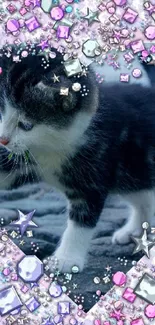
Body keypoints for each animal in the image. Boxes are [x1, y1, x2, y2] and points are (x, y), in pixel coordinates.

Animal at [0, 46, 155, 272]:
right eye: (0, 114)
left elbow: (81, 221)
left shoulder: (93, 173)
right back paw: (134, 230)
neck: (52, 147)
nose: (2, 140)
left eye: (26, 125)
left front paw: (65, 259)